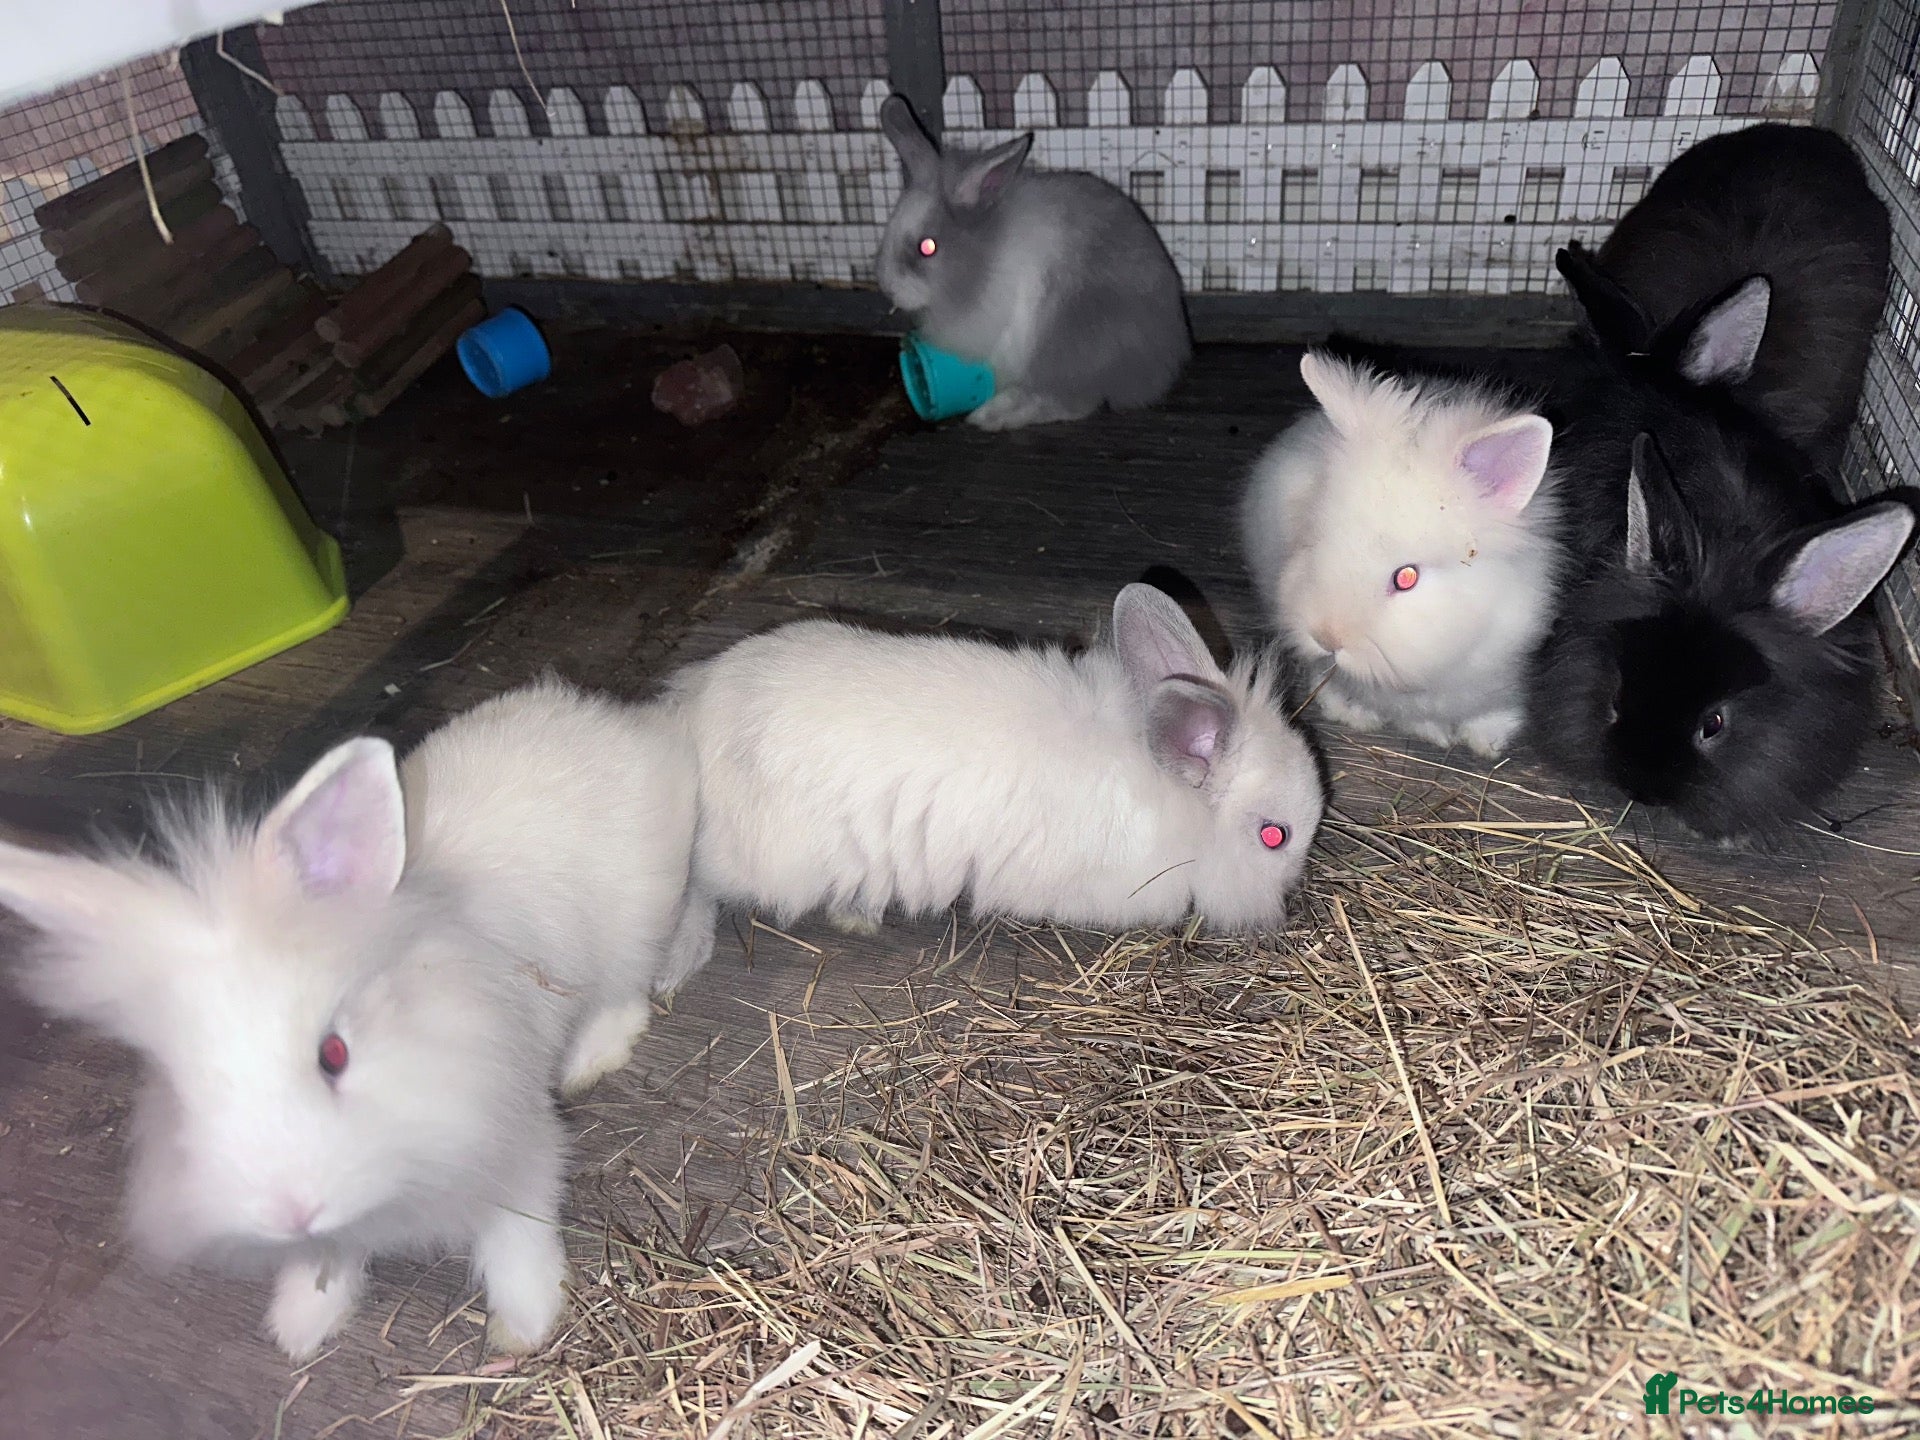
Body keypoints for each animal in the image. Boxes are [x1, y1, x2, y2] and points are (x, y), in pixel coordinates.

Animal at [0, 678, 701, 1360]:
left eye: (333, 1054)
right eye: (180, 1087)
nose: (289, 1210)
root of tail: (619, 721)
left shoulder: (516, 1143)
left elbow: (517, 1235)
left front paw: (526, 1324)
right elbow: (326, 1260)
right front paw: (300, 1326)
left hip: (634, 929)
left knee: (625, 994)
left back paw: (591, 1058)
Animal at [662, 583, 1322, 968]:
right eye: (1274, 836)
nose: (1285, 908)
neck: (1165, 791)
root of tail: (694, 714)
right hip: (761, 858)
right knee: (696, 882)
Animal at [875, 93, 1191, 430]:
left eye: (928, 248)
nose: (887, 287)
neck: (983, 262)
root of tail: (1172, 351)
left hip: (1072, 344)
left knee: (1072, 401)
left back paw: (992, 415)